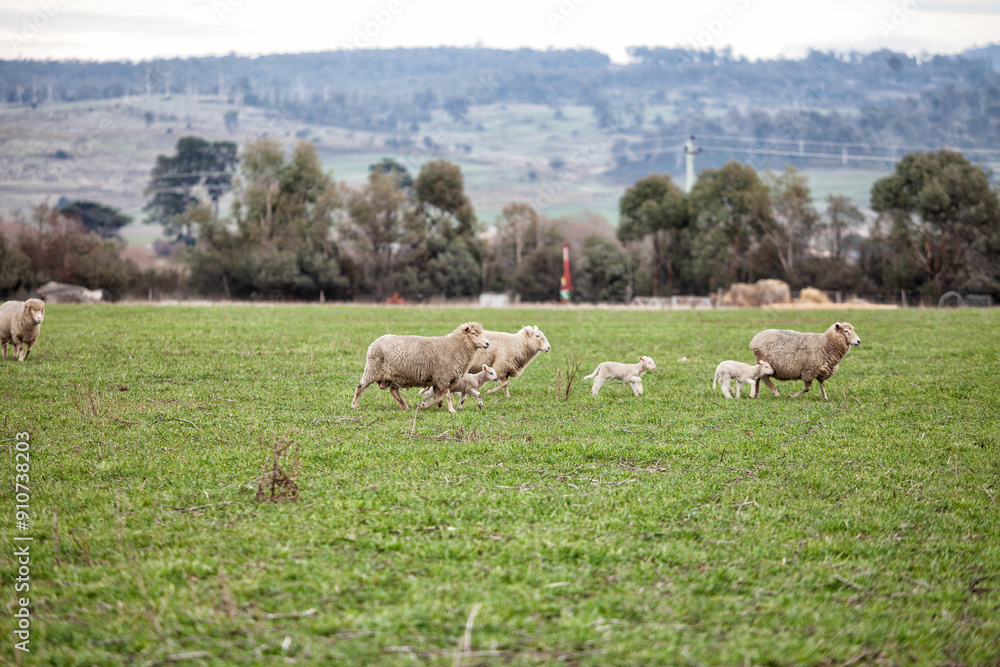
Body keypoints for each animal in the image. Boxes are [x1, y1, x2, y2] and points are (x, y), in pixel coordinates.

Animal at [351, 322, 490, 413]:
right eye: (473, 333)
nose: (487, 343)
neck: (454, 346)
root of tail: (373, 343)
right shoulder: (443, 377)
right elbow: (447, 396)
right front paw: (451, 410)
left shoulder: (437, 379)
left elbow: (439, 398)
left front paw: (421, 406)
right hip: (372, 370)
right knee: (360, 386)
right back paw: (354, 406)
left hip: (394, 376)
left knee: (394, 391)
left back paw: (405, 406)